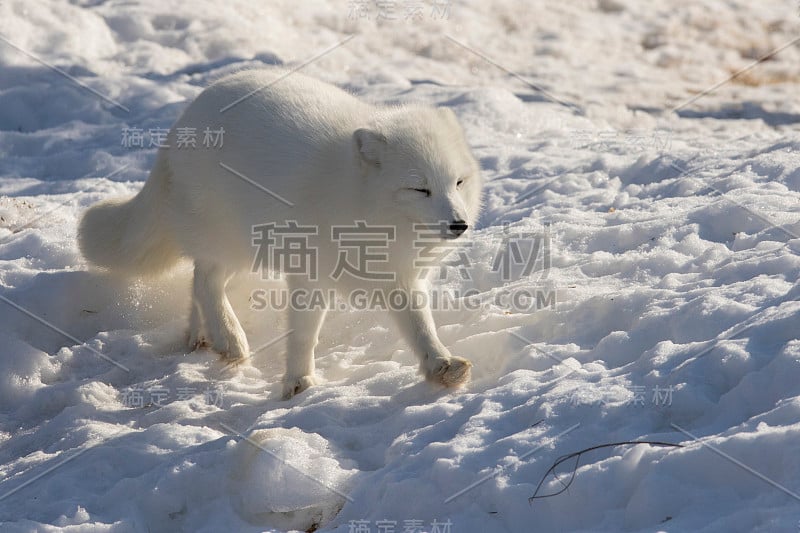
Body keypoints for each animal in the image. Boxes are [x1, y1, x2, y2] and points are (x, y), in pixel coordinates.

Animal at [79, 68, 482, 396]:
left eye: (458, 182)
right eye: (420, 189)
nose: (459, 224)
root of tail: (183, 119)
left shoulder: (401, 278)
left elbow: (421, 327)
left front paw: (441, 366)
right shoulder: (309, 274)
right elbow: (304, 335)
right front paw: (298, 383)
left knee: (197, 280)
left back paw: (201, 337)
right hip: (232, 241)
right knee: (206, 281)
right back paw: (229, 338)